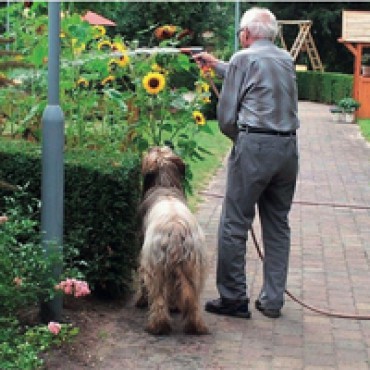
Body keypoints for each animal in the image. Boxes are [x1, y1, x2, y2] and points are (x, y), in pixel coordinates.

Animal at [136, 147, 210, 336]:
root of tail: (176, 230)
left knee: (159, 298)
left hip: (155, 266)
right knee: (193, 300)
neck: (165, 185)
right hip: (194, 266)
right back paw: (195, 326)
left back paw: (157, 326)